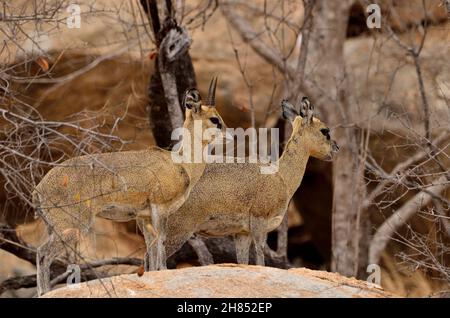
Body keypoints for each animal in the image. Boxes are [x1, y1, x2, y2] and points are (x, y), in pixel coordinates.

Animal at [32, 77, 225, 296]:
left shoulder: (143, 217)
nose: (230, 134)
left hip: (55, 228)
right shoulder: (160, 209)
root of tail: (40, 188)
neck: (181, 164)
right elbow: (161, 241)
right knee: (42, 254)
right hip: (71, 226)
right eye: (215, 119)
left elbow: (151, 247)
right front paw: (163, 271)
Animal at [164, 97, 338, 266]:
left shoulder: (242, 233)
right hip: (178, 229)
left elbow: (243, 261)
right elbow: (260, 259)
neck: (282, 177)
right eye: (325, 130)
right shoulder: (259, 221)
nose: (336, 148)